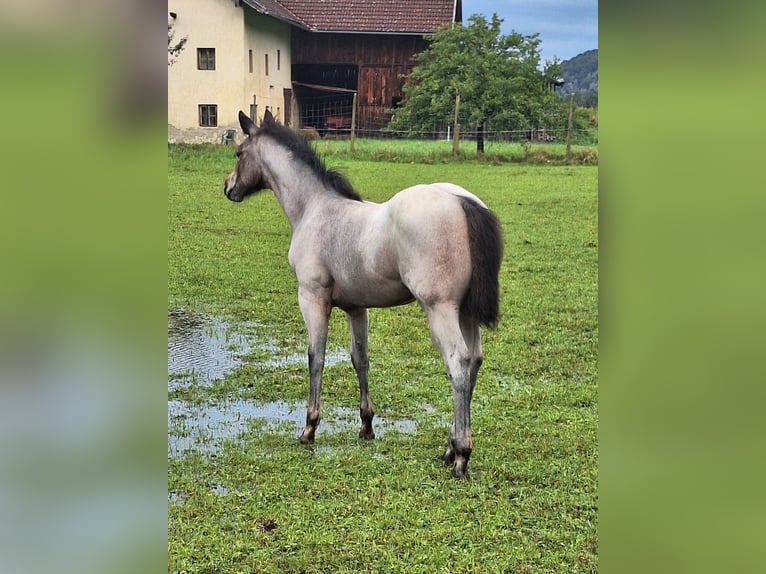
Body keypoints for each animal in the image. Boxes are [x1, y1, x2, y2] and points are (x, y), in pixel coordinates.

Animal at [224, 110, 504, 480]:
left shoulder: (312, 298)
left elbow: (316, 357)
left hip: (440, 309)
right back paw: (449, 448)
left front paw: (309, 428)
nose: (229, 188)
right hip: (465, 313)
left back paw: (460, 455)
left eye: (239, 153)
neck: (314, 209)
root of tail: (463, 201)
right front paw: (367, 425)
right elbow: (361, 359)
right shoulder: (356, 308)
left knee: (458, 364)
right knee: (474, 362)